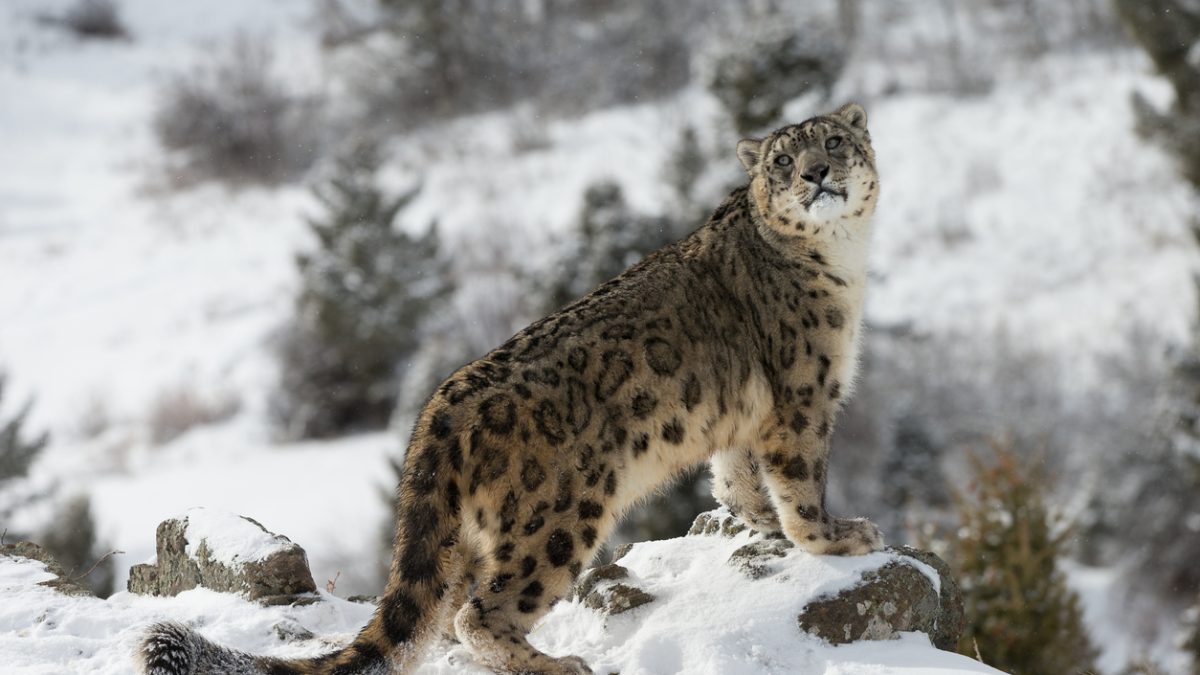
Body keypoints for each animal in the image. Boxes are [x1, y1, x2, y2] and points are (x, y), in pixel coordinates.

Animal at [138, 102, 883, 675]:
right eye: (782, 162)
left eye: (833, 142)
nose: (817, 173)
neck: (843, 260)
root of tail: (440, 406)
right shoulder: (803, 399)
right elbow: (801, 481)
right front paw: (837, 537)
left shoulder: (744, 418)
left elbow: (737, 478)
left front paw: (761, 523)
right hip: (558, 515)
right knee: (481, 612)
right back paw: (560, 664)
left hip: (470, 539)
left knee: (443, 614)